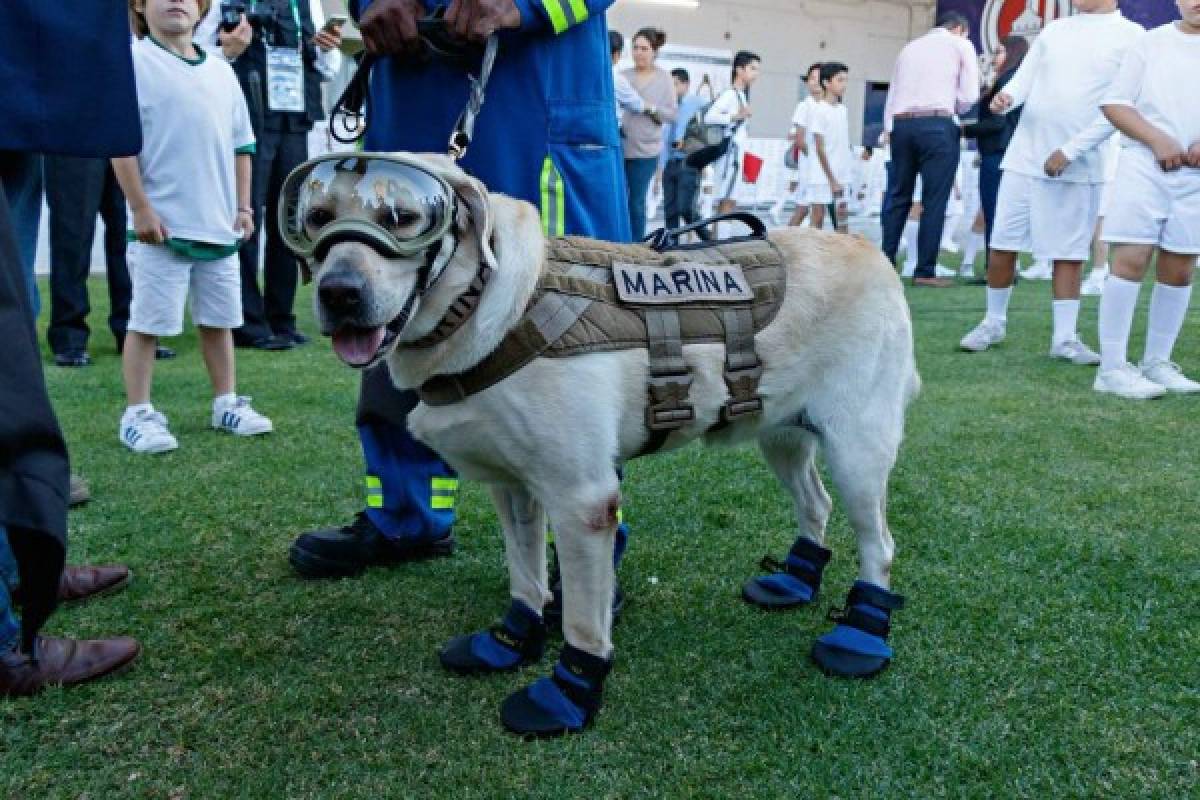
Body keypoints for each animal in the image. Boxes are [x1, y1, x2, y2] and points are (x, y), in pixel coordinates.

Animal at [280, 153, 916, 734]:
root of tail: (873, 252)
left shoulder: (582, 499)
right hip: (782, 434)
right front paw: (510, 641)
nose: (338, 294)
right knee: (817, 503)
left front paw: (567, 694)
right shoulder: (513, 488)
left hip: (857, 447)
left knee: (879, 544)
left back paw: (860, 635)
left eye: (403, 217)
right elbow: (526, 577)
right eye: (316, 218)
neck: (487, 307)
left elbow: (583, 622)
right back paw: (795, 581)